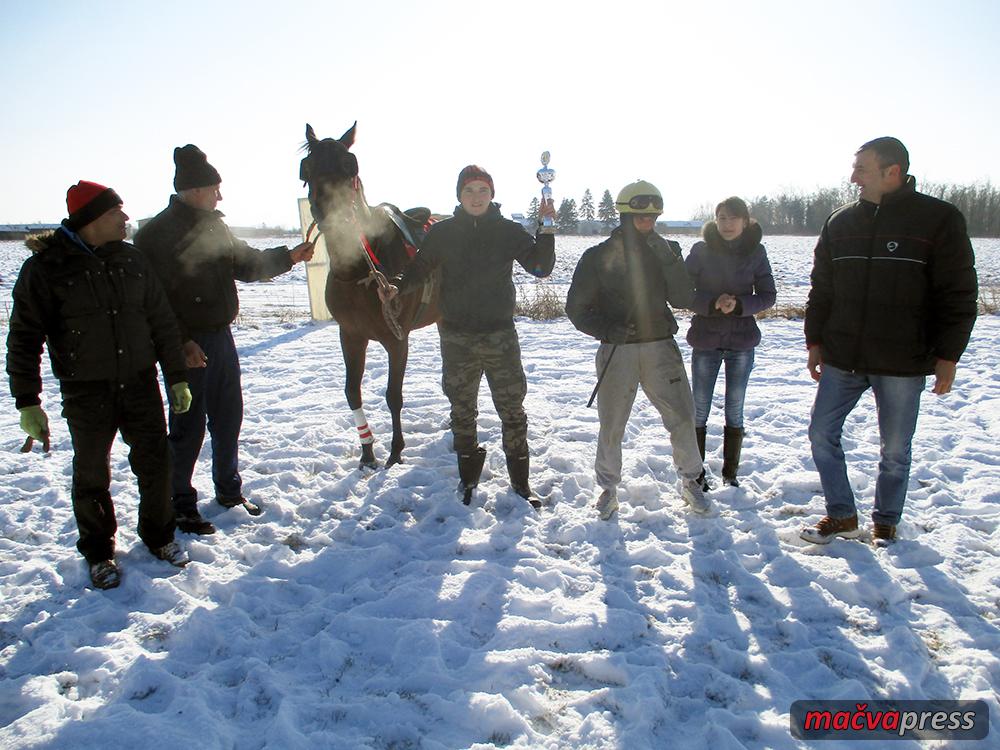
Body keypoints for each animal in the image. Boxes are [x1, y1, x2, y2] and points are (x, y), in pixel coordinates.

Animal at [296, 123, 438, 470]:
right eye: (307, 168)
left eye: (350, 165)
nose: (328, 212)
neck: (359, 273)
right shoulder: (350, 335)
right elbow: (352, 392)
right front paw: (367, 450)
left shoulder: (397, 341)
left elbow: (393, 396)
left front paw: (396, 451)